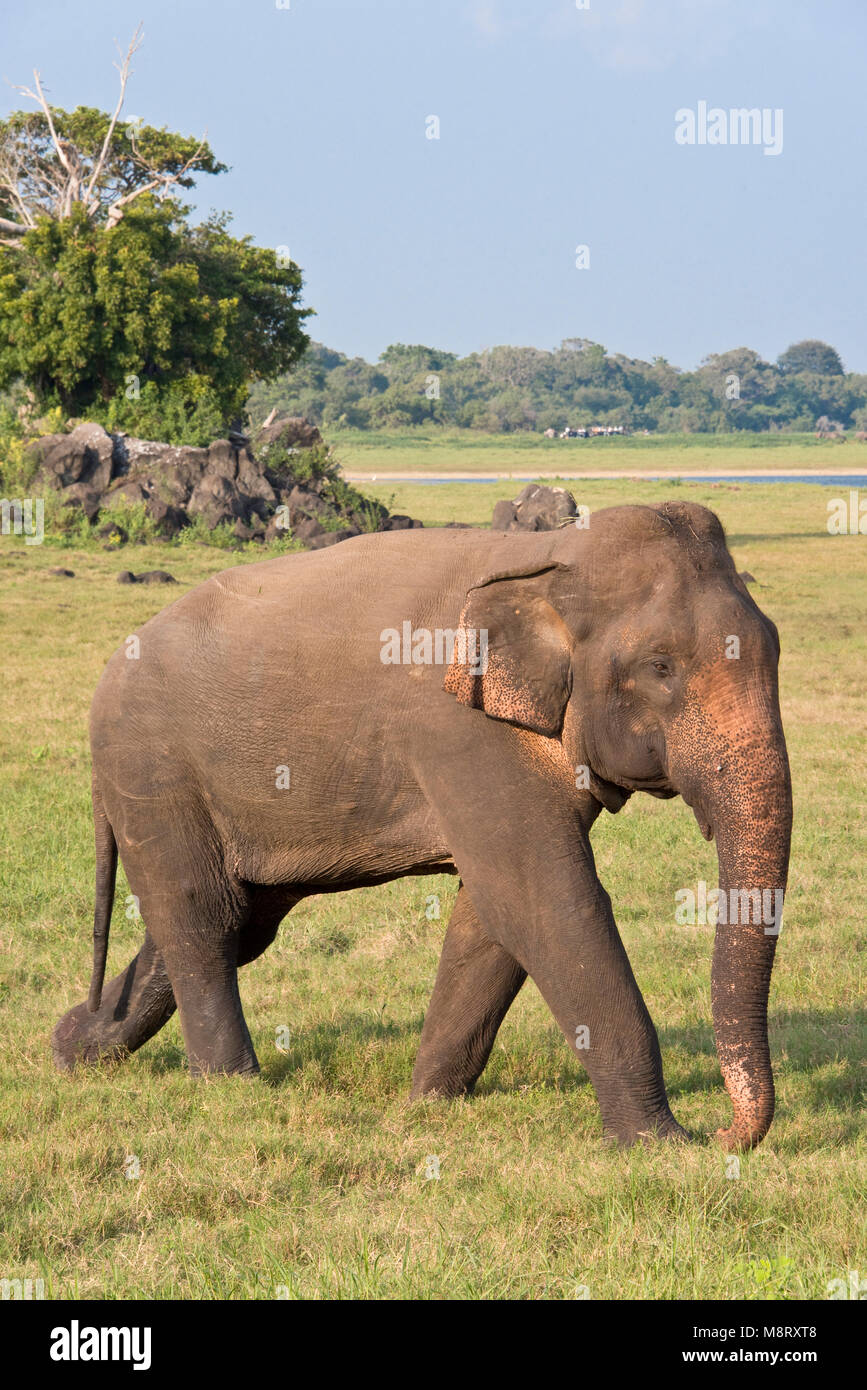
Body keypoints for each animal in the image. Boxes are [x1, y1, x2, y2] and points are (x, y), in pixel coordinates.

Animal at [48, 503, 794, 1150]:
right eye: (659, 667)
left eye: (778, 649)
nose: (723, 1132)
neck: (545, 556)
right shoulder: (456, 729)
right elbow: (542, 896)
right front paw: (657, 1144)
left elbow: (492, 913)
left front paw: (429, 1103)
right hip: (152, 769)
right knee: (201, 915)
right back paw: (232, 1087)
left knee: (238, 921)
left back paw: (74, 1048)